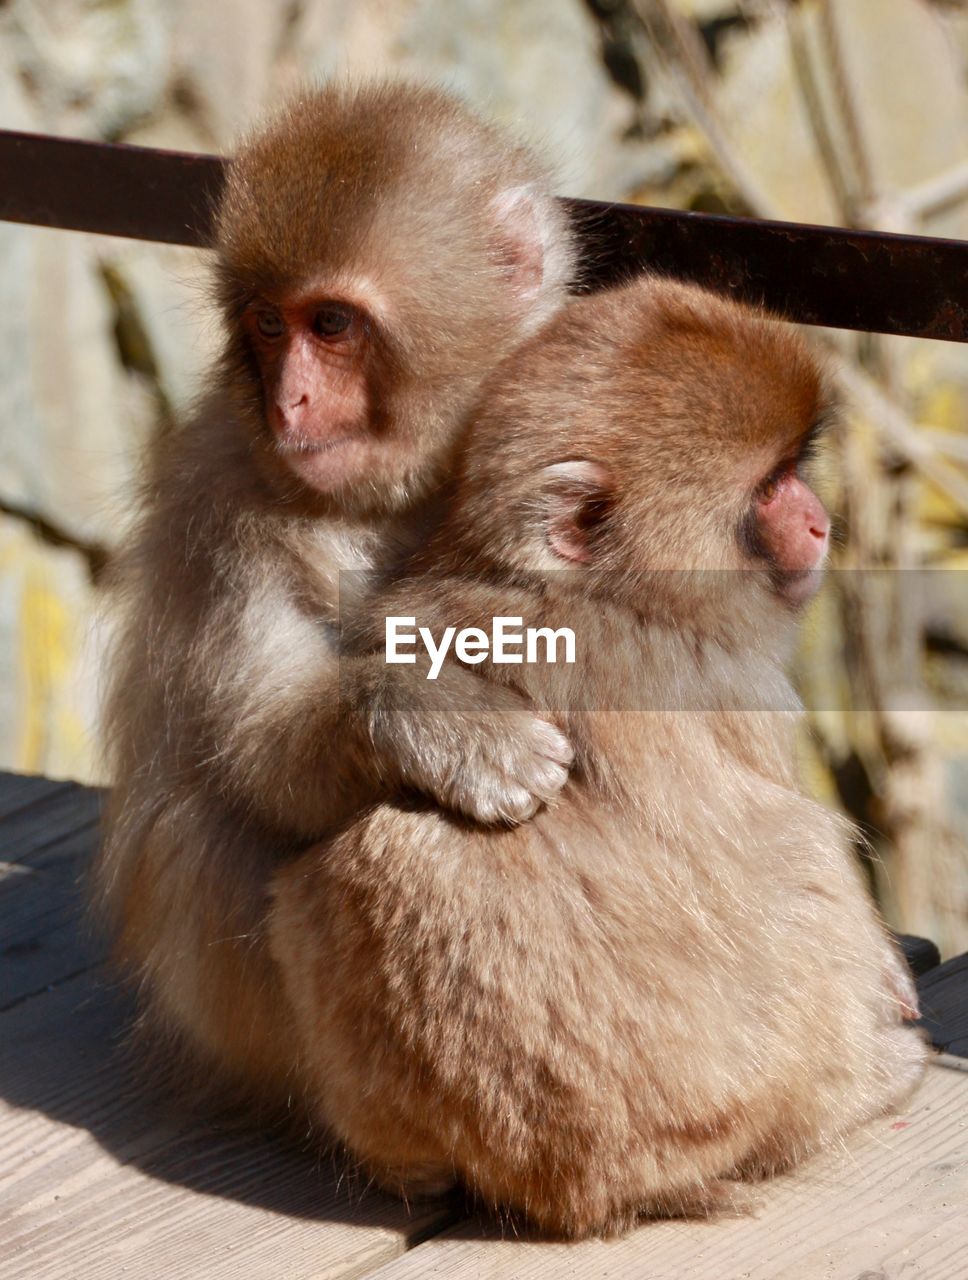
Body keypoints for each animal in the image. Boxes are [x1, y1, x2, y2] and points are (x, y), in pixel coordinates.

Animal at [92, 80, 573, 1105]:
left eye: (333, 326)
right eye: (270, 326)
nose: (289, 403)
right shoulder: (223, 513)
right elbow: (260, 751)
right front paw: (445, 723)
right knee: (204, 833)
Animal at [266, 277, 932, 1239]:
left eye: (793, 474)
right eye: (770, 488)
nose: (816, 520)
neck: (581, 588)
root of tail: (582, 1183)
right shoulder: (730, 676)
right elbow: (798, 845)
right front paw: (888, 979)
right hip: (743, 1105)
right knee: (805, 861)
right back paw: (870, 1083)